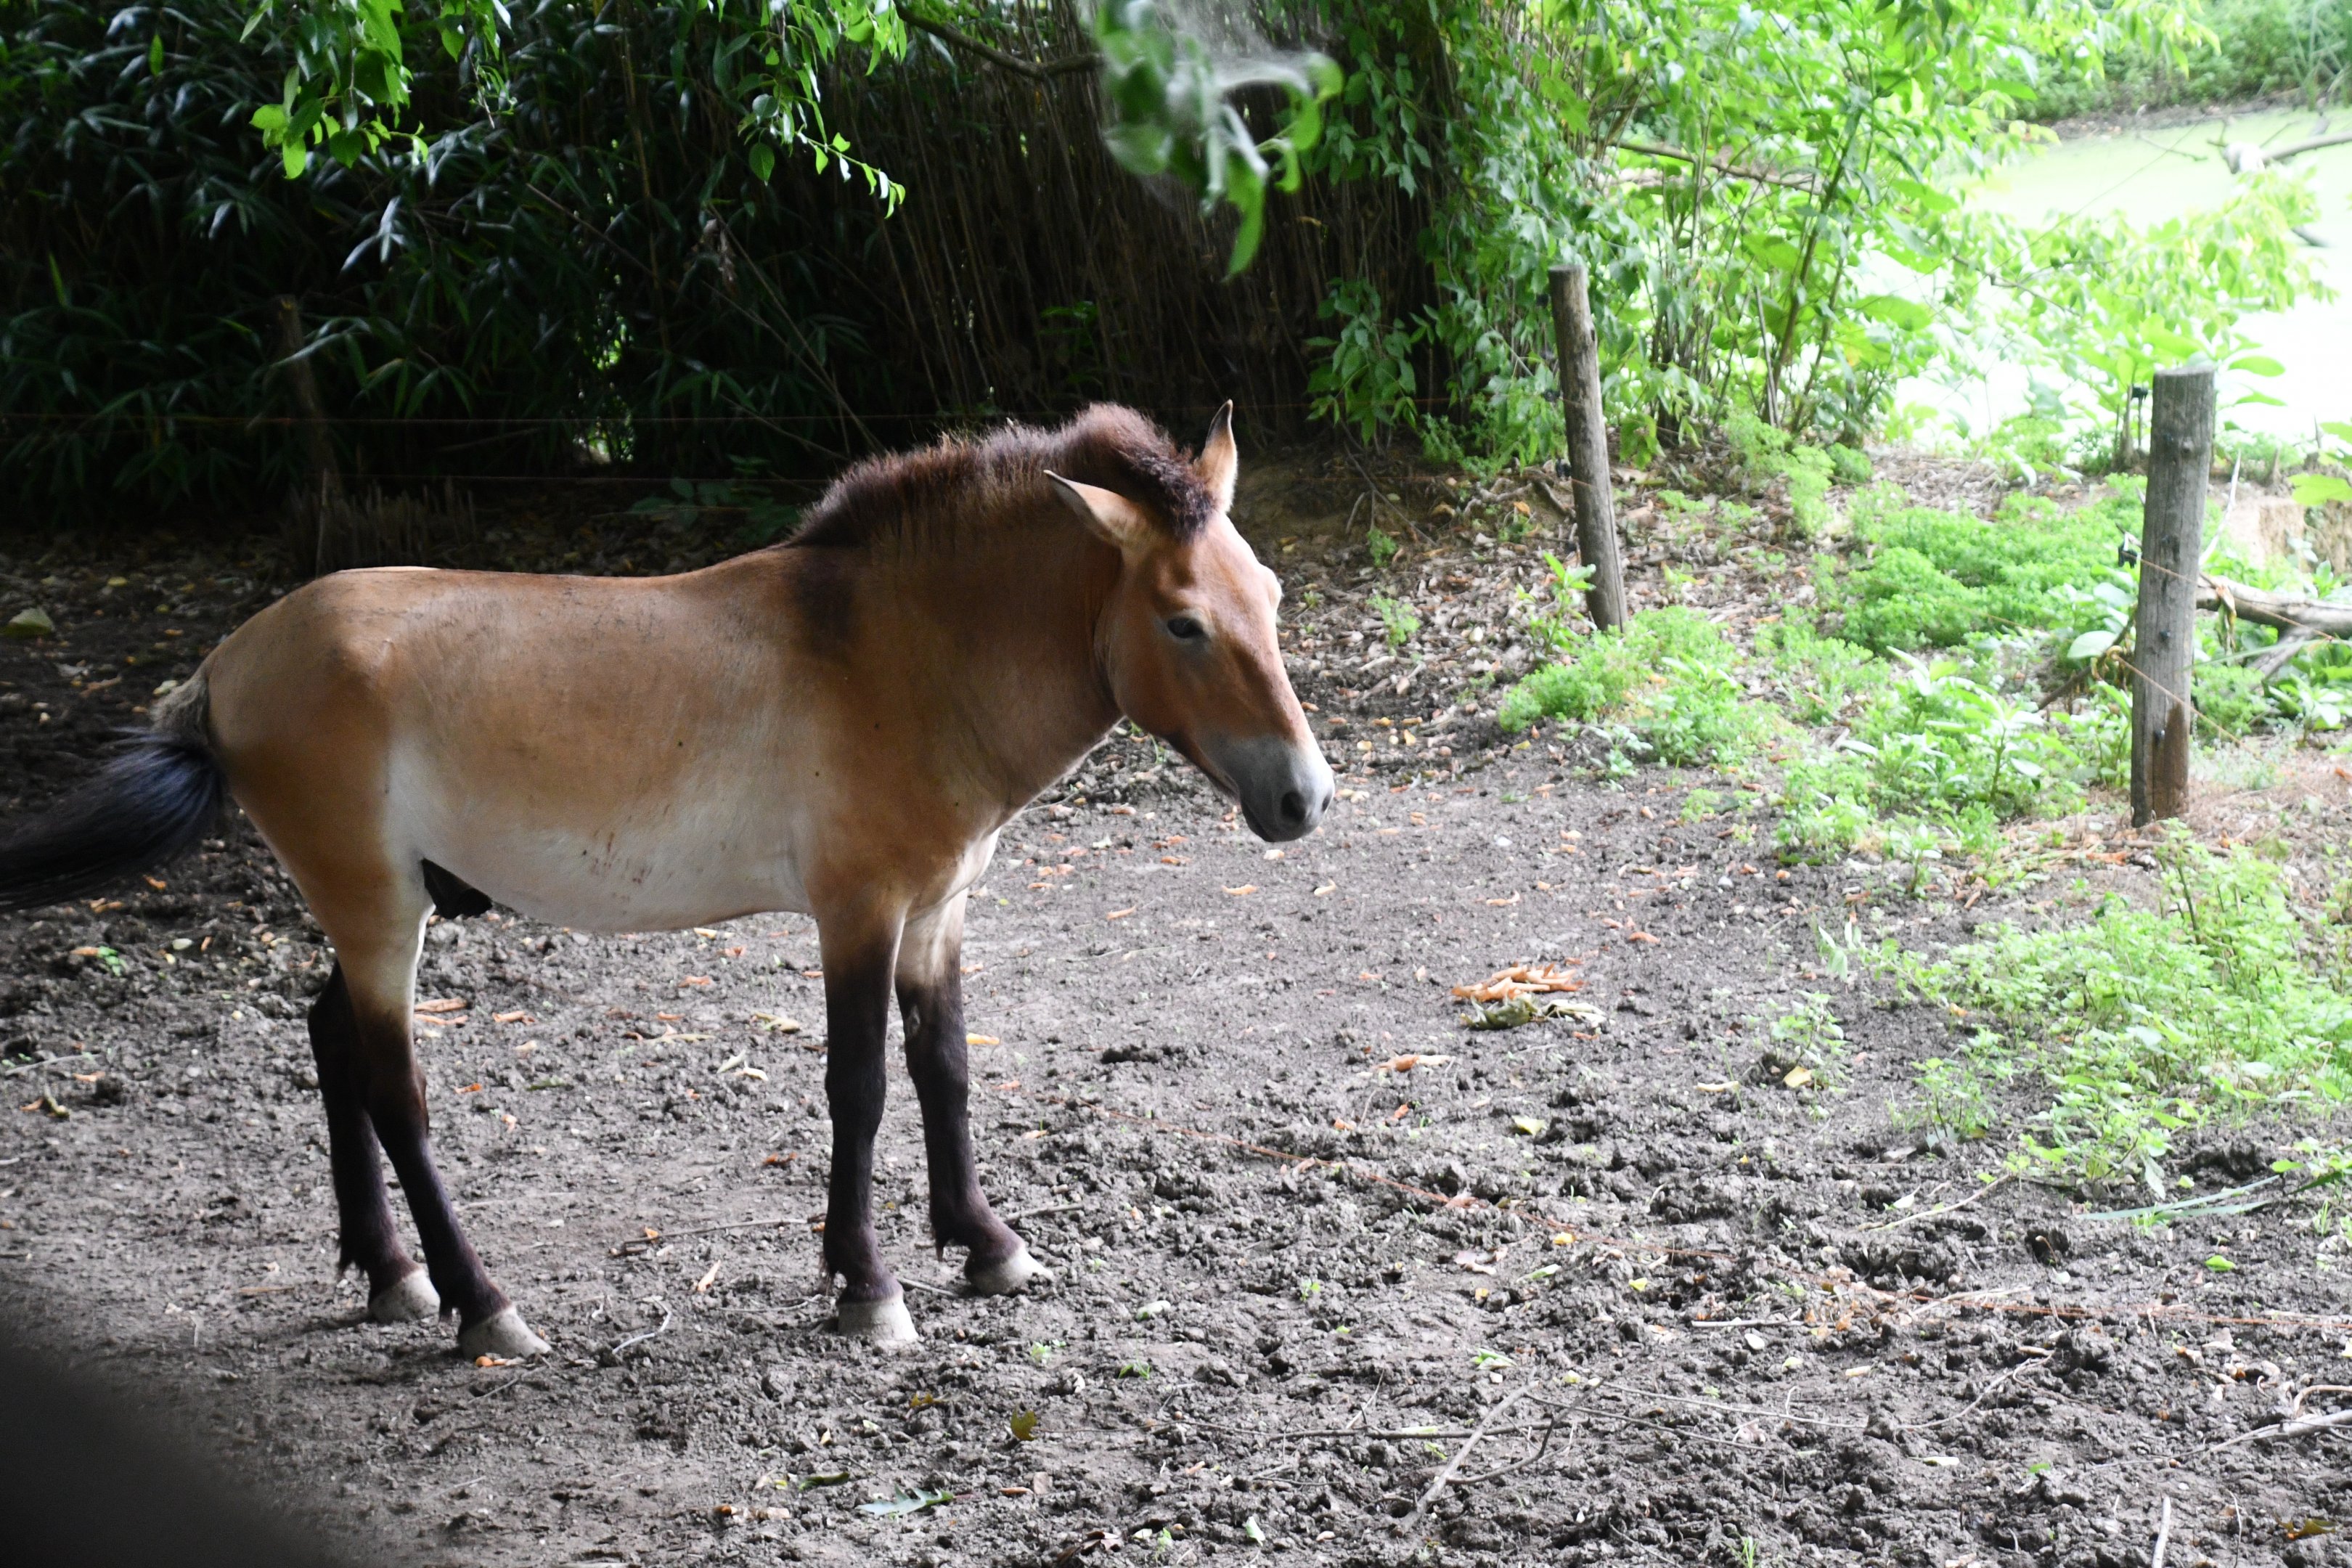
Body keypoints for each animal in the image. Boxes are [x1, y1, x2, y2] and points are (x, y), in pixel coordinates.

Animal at [0, 404, 1332, 1354]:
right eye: (1182, 624)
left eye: (1268, 596)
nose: (1304, 799)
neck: (895, 652)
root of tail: (227, 665)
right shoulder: (856, 913)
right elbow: (860, 1089)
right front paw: (868, 1287)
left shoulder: (937, 913)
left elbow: (944, 1069)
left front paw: (986, 1244)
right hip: (380, 914)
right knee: (392, 1089)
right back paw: (483, 1305)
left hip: (382, 909)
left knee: (330, 1042)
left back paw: (392, 1278)